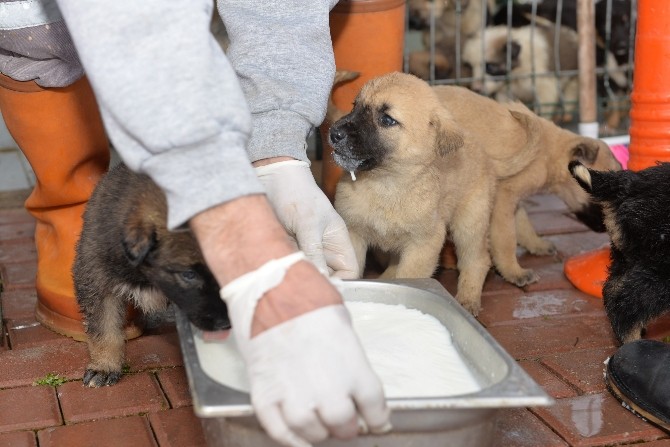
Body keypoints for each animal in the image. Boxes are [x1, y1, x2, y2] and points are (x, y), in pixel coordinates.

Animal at [330, 72, 498, 316]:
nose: (334, 133)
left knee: (477, 259)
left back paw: (468, 298)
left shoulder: (423, 243)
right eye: (355, 106)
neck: (386, 184)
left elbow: (409, 276)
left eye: (387, 119)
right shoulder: (353, 232)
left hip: (470, 222)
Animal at [436, 85, 624, 288]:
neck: (547, 151)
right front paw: (514, 272)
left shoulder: (514, 200)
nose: (606, 230)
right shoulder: (503, 200)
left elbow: (524, 225)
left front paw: (537, 245)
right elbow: (506, 239)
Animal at [568, 163, 670, 344]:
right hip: (661, 264)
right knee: (628, 304)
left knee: (612, 291)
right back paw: (633, 342)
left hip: (626, 255)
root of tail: (628, 183)